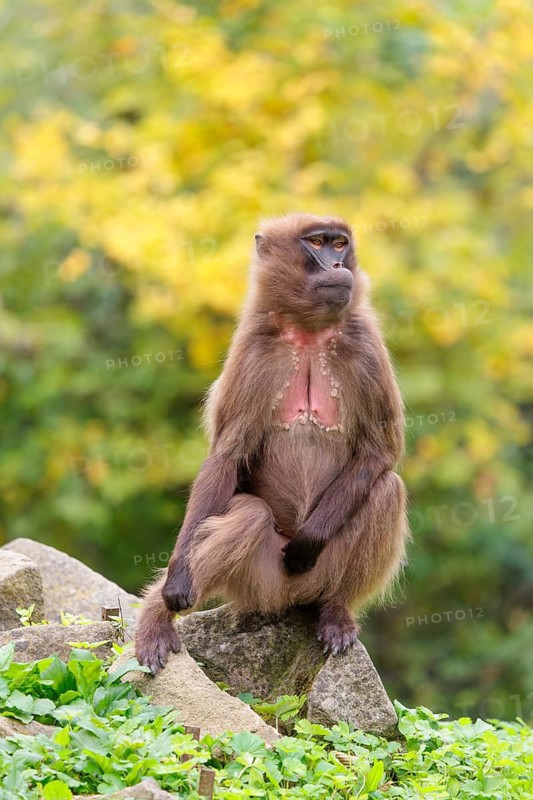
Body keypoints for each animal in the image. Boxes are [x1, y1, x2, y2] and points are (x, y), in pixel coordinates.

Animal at [135, 212, 409, 674]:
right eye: (317, 243)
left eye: (340, 244)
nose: (339, 266)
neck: (309, 331)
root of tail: (292, 598)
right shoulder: (255, 346)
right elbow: (227, 456)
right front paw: (174, 584)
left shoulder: (365, 342)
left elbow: (380, 451)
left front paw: (307, 541)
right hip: (259, 582)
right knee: (249, 514)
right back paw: (158, 620)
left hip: (320, 575)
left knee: (387, 489)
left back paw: (336, 611)